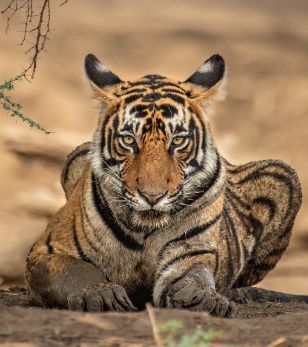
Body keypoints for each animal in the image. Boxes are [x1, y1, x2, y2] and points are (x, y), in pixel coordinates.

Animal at [25, 53, 306, 318]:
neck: (144, 230)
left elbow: (197, 274)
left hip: (283, 175)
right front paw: (99, 294)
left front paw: (202, 298)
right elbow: (77, 269)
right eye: (129, 140)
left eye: (178, 141)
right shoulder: (46, 251)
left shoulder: (191, 252)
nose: (152, 196)